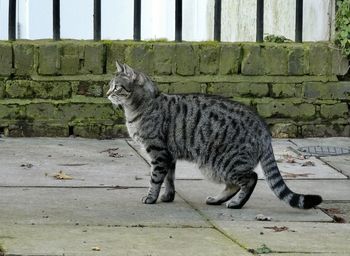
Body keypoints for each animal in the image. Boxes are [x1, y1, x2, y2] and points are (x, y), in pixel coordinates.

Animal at [106, 62, 322, 210]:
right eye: (110, 86)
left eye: (116, 87)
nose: (107, 94)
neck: (141, 106)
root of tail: (263, 128)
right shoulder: (169, 154)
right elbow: (169, 178)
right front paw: (168, 196)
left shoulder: (158, 152)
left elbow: (156, 178)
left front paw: (151, 197)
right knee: (234, 184)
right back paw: (218, 199)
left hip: (221, 162)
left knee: (250, 178)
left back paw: (236, 203)